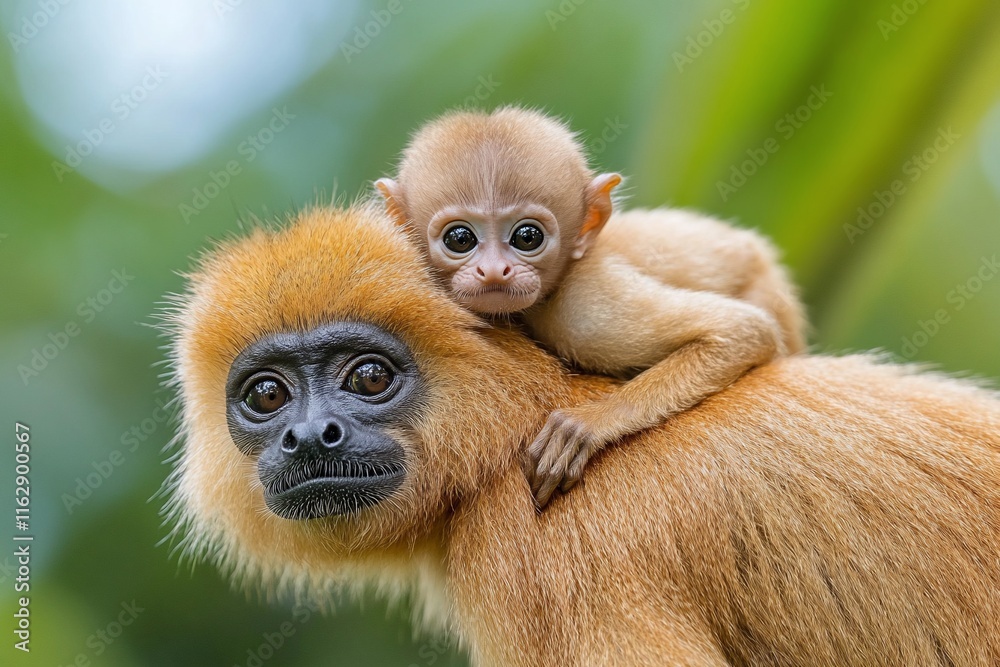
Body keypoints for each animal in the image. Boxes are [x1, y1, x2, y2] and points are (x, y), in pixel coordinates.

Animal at [375, 107, 807, 505]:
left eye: (527, 236)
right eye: (460, 238)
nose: (495, 270)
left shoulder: (583, 307)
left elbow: (742, 330)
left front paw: (588, 424)